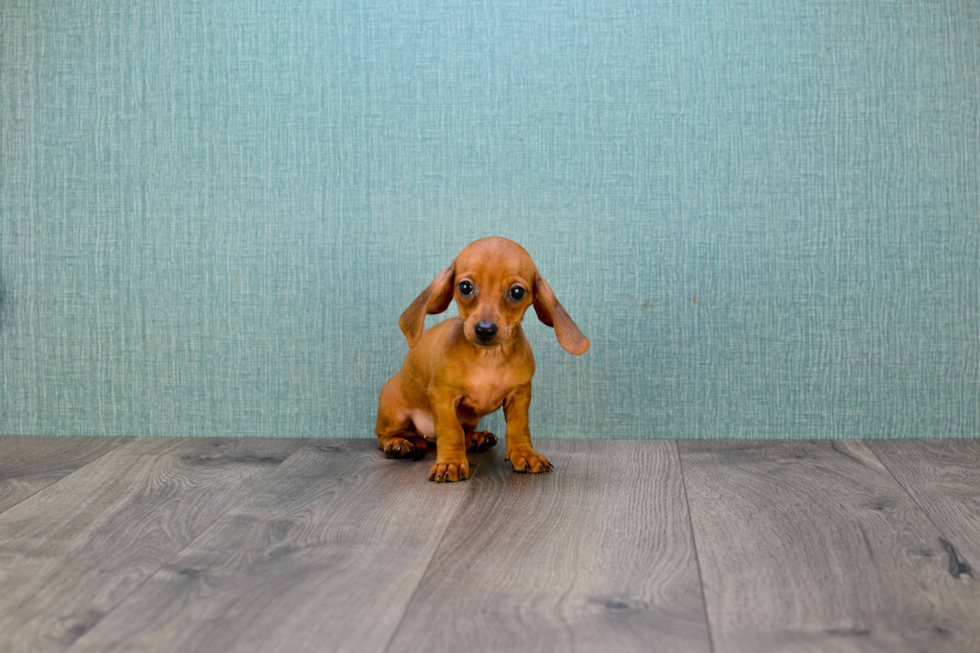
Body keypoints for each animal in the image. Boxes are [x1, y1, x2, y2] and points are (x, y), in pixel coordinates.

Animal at [376, 237, 588, 482]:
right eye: (465, 287)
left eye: (517, 292)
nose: (485, 330)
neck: (489, 358)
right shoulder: (442, 396)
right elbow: (451, 432)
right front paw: (450, 463)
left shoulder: (520, 394)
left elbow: (519, 428)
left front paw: (525, 454)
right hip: (393, 410)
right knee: (384, 435)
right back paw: (399, 444)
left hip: (469, 419)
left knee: (464, 431)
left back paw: (476, 438)